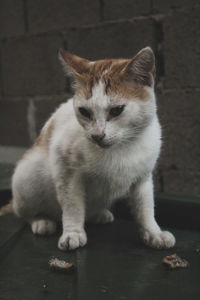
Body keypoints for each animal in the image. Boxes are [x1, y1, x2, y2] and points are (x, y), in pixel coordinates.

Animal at [11, 46, 176, 251]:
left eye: (116, 110)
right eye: (84, 112)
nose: (97, 135)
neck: (120, 148)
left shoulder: (142, 178)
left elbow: (145, 207)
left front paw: (153, 233)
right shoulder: (66, 172)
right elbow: (73, 205)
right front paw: (73, 233)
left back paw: (98, 214)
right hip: (27, 178)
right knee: (22, 212)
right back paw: (41, 220)